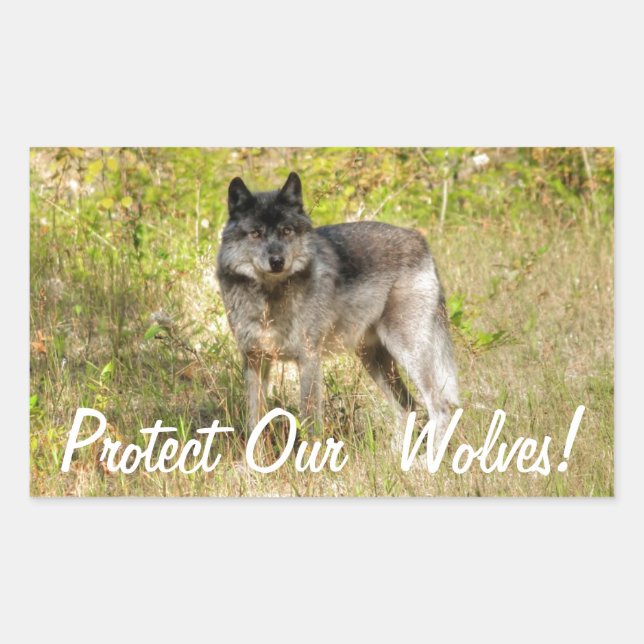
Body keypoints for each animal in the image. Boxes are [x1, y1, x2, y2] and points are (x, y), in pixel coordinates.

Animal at [216, 172, 459, 441]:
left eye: (286, 231)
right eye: (255, 233)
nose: (277, 261)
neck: (269, 299)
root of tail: (421, 240)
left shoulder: (309, 360)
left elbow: (310, 424)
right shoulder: (254, 361)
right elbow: (254, 425)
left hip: (406, 352)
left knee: (439, 407)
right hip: (373, 360)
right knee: (407, 408)